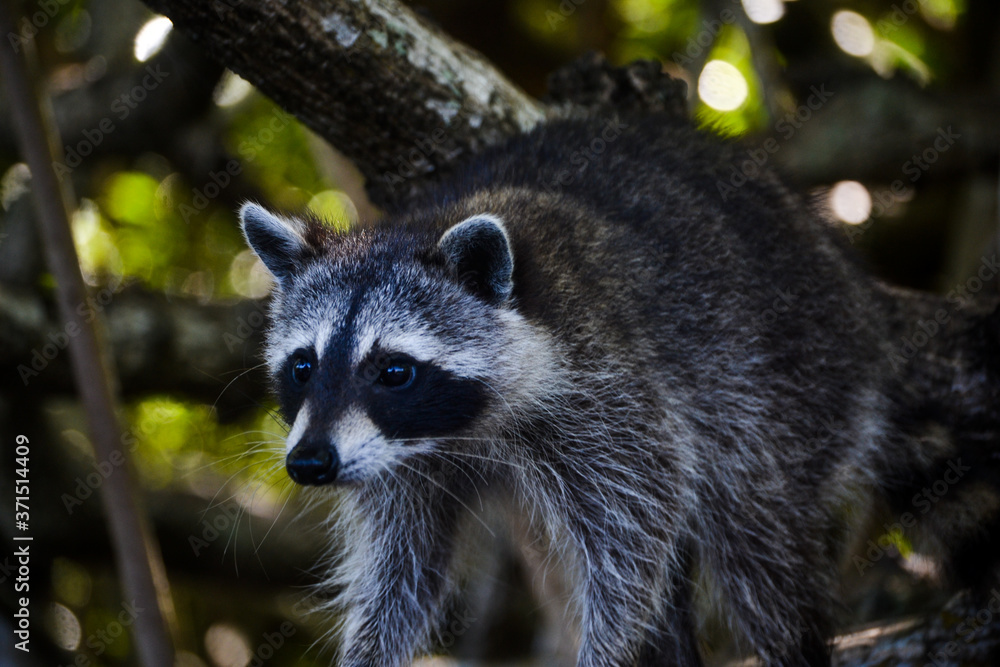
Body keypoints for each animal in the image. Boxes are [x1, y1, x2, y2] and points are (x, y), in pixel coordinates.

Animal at [239, 114, 1000, 666]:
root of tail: (857, 292)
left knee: (755, 543)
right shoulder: (397, 465)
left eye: (393, 370)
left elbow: (633, 537)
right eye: (303, 365)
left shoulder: (608, 390)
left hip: (784, 384)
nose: (308, 464)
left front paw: (611, 646)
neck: (460, 429)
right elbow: (402, 576)